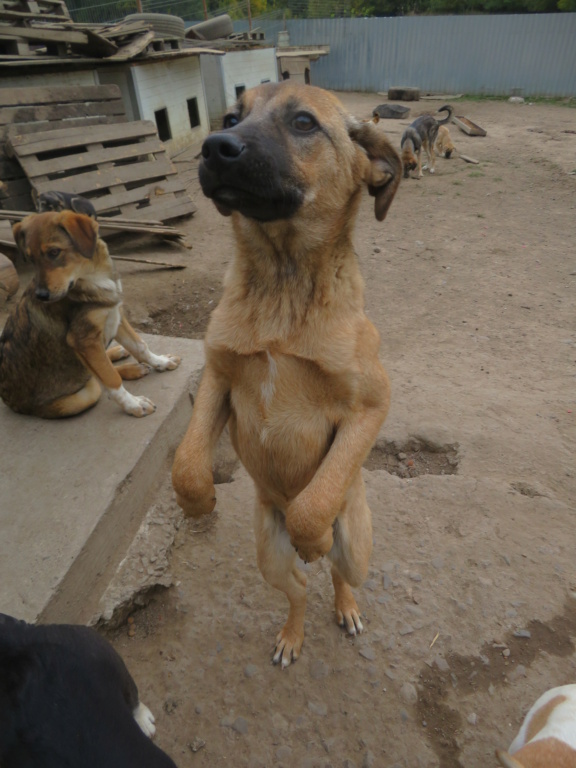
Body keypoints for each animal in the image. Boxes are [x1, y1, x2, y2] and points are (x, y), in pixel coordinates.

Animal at [0, 212, 180, 420]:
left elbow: (140, 346)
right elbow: (110, 378)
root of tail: (10, 402)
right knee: (97, 380)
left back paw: (121, 356)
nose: (42, 296)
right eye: (30, 258)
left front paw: (161, 362)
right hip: (85, 395)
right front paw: (134, 404)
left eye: (54, 252)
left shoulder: (115, 314)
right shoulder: (83, 340)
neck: (93, 276)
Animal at [171, 82, 400, 664]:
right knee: (296, 588)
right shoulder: (218, 376)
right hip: (267, 555)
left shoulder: (371, 405)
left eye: (303, 123)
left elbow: (311, 507)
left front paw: (313, 534)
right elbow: (186, 462)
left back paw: (343, 602)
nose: (214, 147)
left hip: (359, 545)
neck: (282, 283)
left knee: (339, 572)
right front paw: (198, 501)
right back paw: (291, 636)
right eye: (231, 118)